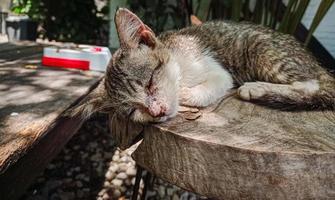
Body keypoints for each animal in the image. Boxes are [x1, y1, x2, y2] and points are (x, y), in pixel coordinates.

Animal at [71, 7, 335, 122]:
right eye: (134, 111)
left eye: (150, 83)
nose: (157, 112)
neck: (180, 65)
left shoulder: (217, 69)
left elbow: (213, 84)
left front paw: (185, 94)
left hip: (260, 47)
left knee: (313, 86)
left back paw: (257, 88)